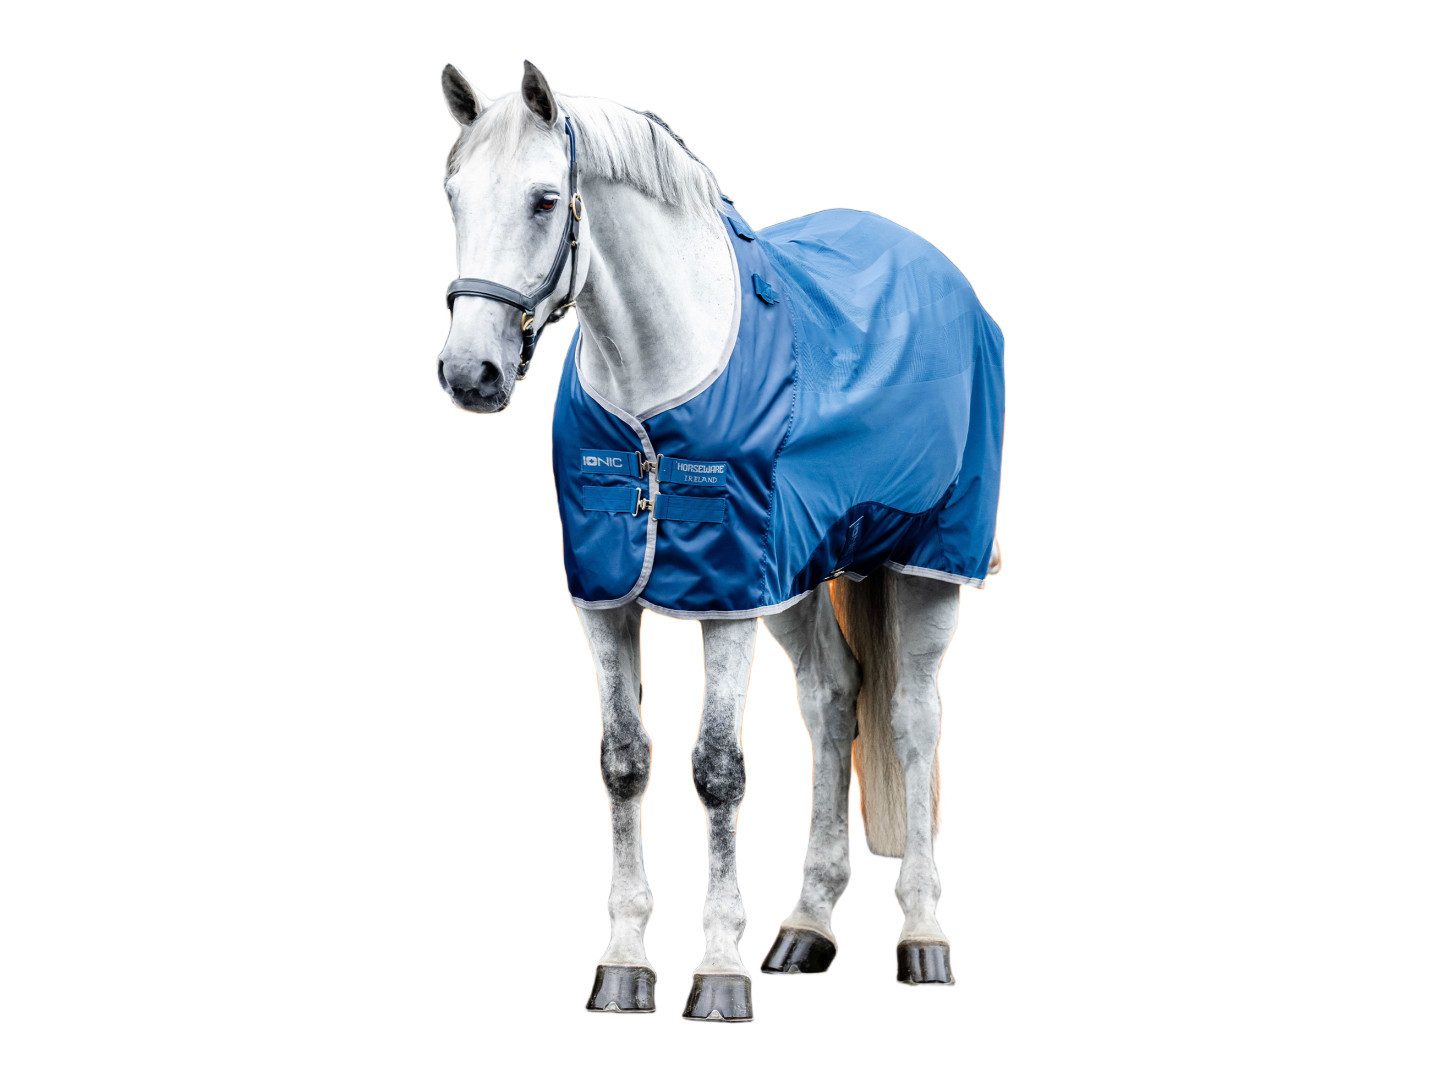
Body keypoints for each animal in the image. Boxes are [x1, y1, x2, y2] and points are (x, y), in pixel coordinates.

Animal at [435, 61, 1005, 1022]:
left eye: (546, 200)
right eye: (453, 197)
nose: (468, 372)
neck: (657, 378)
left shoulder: (729, 596)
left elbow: (718, 771)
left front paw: (718, 971)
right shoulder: (610, 596)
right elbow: (624, 763)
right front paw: (624, 964)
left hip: (929, 562)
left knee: (913, 718)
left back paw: (924, 937)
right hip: (799, 577)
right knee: (834, 701)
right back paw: (806, 927)